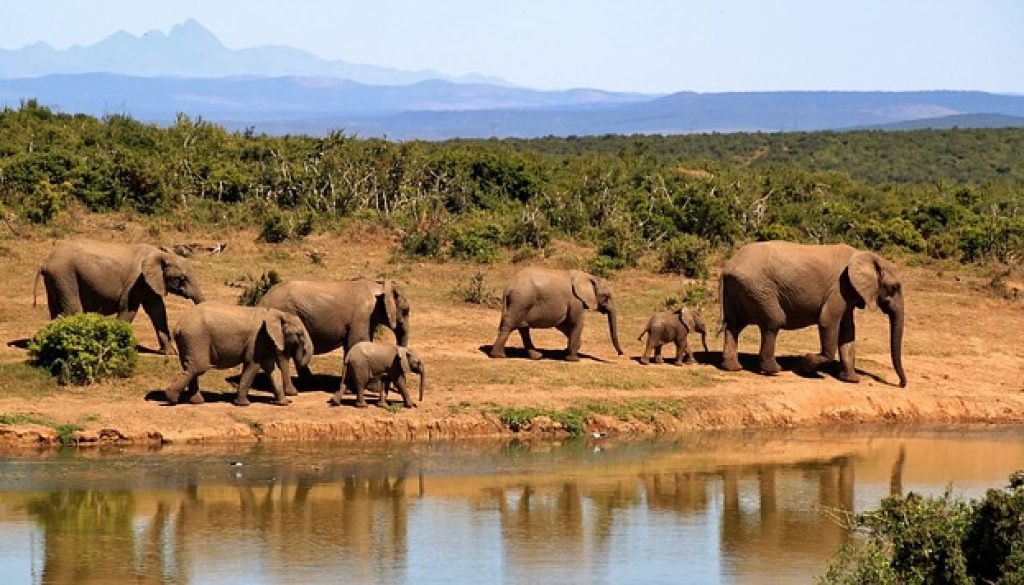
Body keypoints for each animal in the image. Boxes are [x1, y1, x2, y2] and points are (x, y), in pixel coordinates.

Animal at [35, 240, 205, 354]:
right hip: (65, 276)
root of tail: (45, 262)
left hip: (55, 279)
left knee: (56, 311)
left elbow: (158, 311)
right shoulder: (136, 282)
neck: (161, 254)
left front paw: (169, 353)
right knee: (72, 310)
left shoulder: (150, 283)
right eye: (181, 279)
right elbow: (129, 310)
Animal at [164, 303, 314, 406]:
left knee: (191, 367)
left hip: (189, 341)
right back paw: (171, 398)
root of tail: (177, 327)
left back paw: (196, 401)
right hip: (196, 338)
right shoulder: (257, 339)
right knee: (197, 367)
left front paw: (283, 403)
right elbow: (252, 365)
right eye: (299, 334)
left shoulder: (265, 341)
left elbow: (272, 369)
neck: (276, 313)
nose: (292, 399)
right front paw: (243, 404)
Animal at [258, 277, 410, 395]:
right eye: (406, 310)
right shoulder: (361, 317)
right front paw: (373, 389)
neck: (379, 286)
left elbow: (352, 346)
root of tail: (262, 300)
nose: (392, 387)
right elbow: (358, 342)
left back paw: (312, 384)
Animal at [488, 268, 624, 361]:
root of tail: (507, 288)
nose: (621, 354)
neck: (588, 276)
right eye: (606, 297)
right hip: (521, 301)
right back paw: (499, 356)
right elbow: (576, 323)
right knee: (509, 325)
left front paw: (568, 350)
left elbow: (563, 324)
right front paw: (573, 359)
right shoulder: (575, 300)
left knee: (523, 328)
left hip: (521, 303)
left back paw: (537, 356)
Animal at [719, 241, 907, 387]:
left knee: (734, 325)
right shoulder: (839, 288)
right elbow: (827, 322)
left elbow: (848, 332)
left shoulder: (848, 293)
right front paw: (806, 365)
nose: (900, 384)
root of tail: (728, 267)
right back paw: (774, 370)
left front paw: (851, 380)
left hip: (740, 289)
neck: (864, 255)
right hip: (759, 289)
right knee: (774, 321)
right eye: (895, 287)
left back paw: (733, 368)